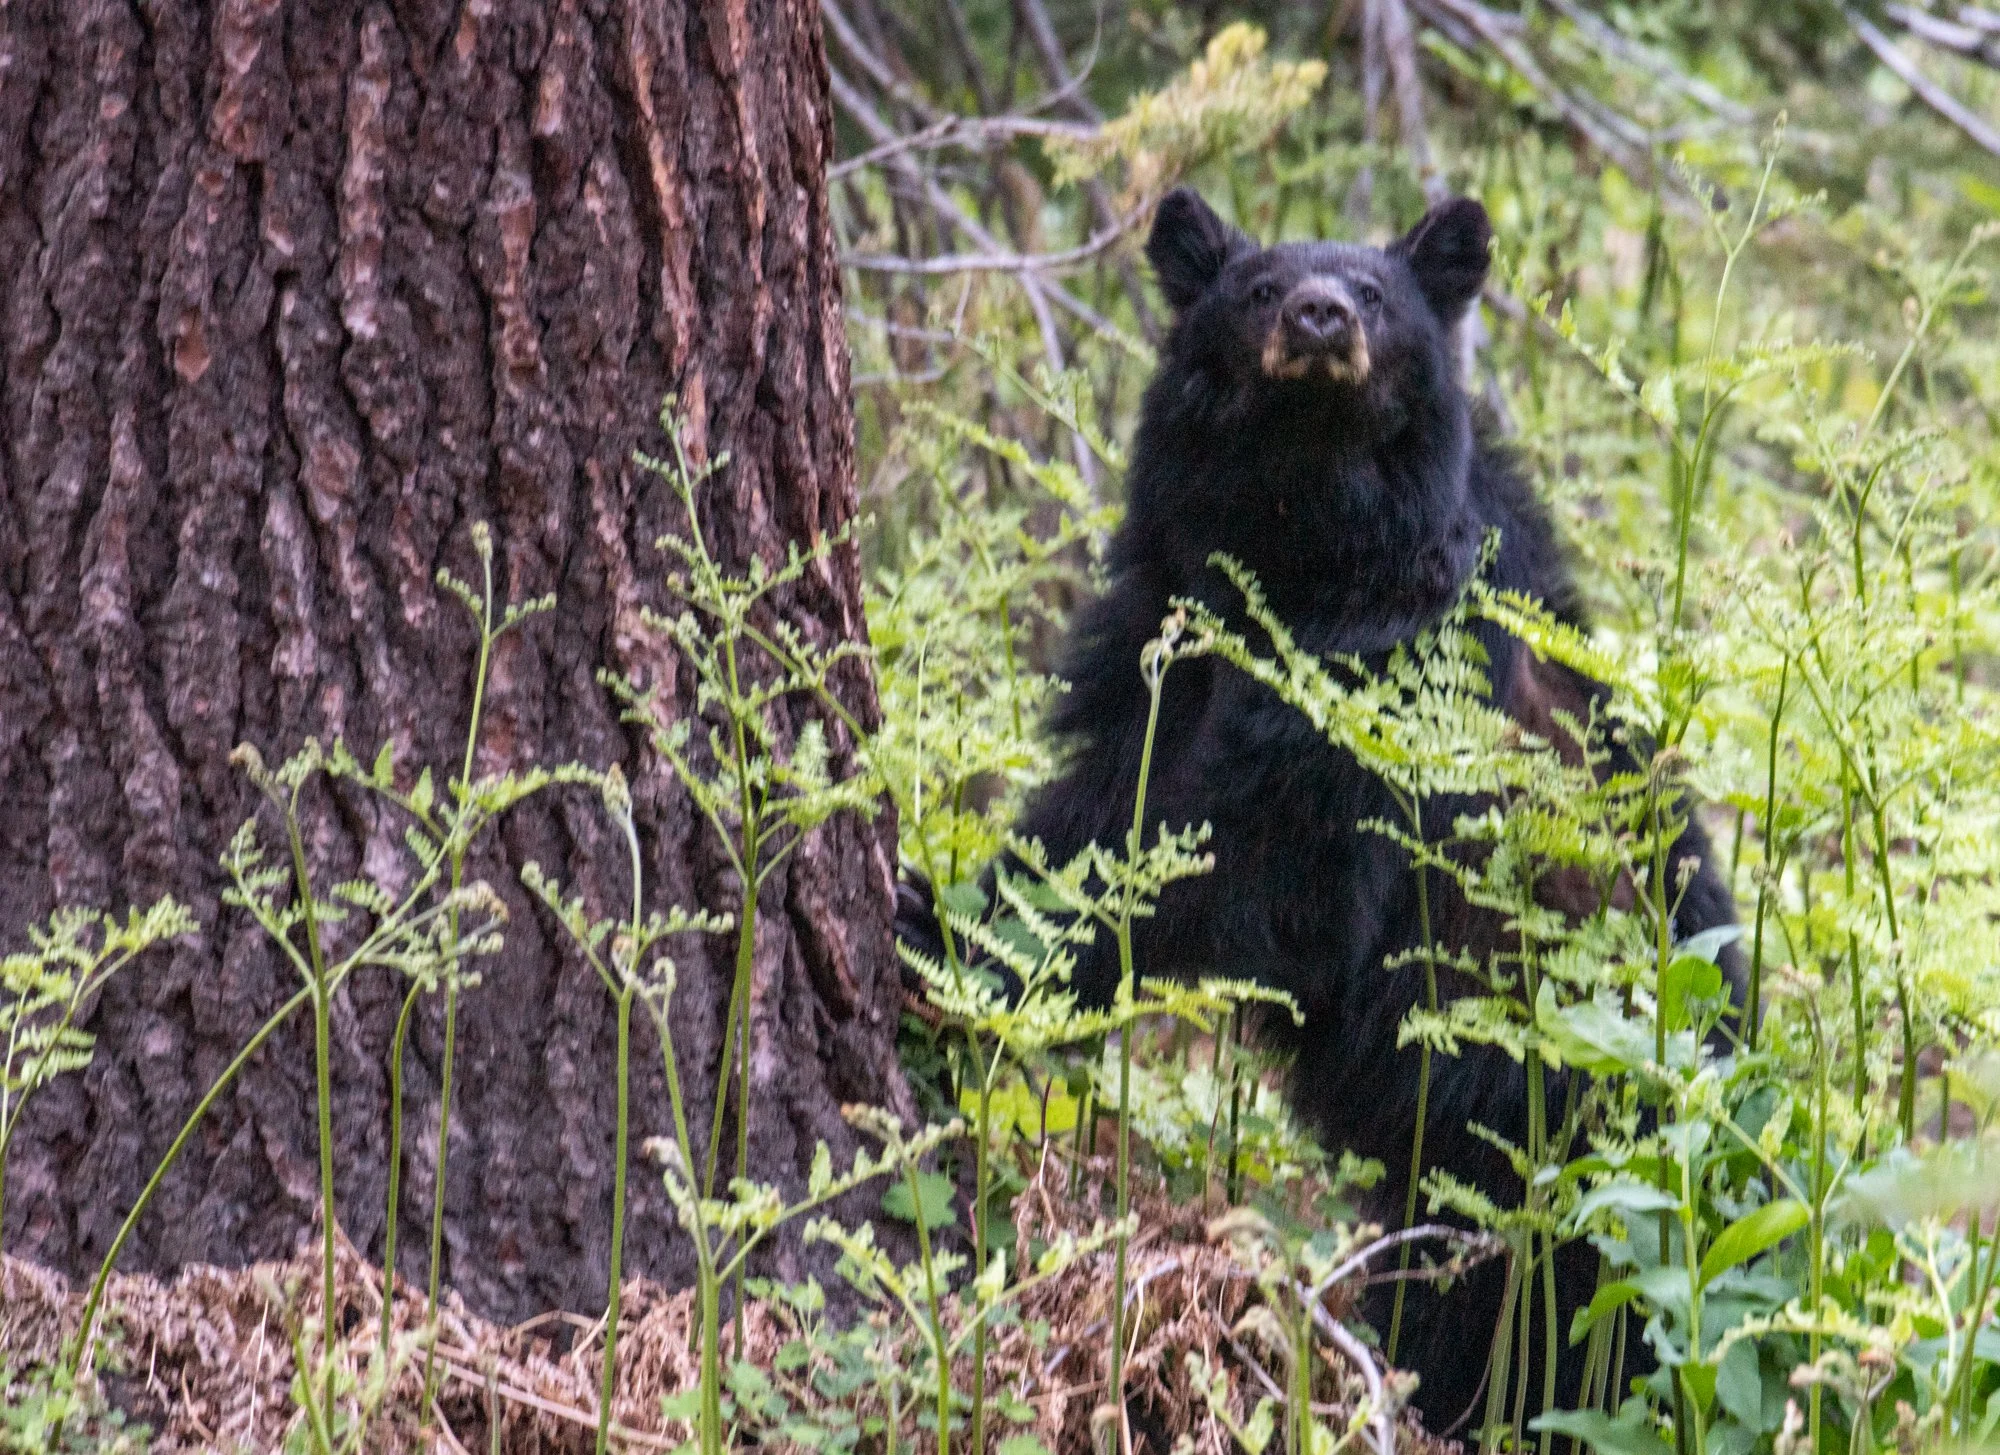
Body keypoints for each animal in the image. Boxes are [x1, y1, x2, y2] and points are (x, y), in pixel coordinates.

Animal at [899, 188, 1743, 1428]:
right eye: (1256, 286)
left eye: (1376, 294)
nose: (1317, 316)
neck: (1299, 529)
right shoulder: (1165, 617)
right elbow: (1114, 783)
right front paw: (951, 907)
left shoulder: (1386, 685)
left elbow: (1265, 873)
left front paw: (975, 950)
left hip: (1545, 1163)